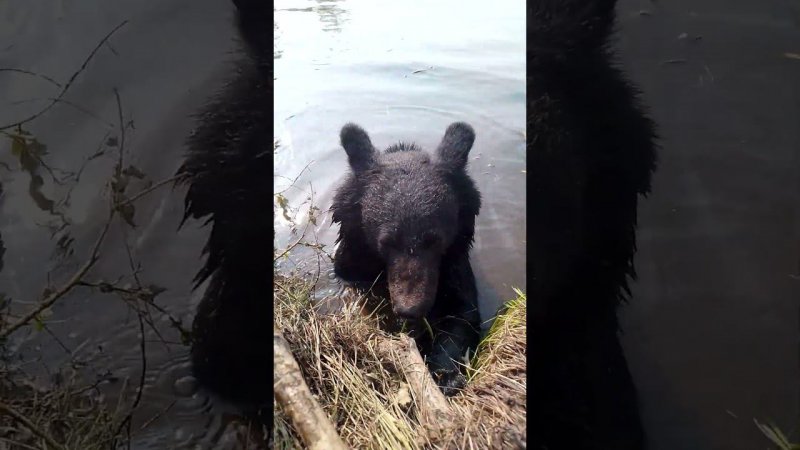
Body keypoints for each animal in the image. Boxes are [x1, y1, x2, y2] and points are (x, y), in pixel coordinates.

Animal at [332, 121, 482, 396]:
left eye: (435, 240)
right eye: (386, 241)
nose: (411, 309)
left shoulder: (454, 263)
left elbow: (463, 314)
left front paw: (446, 375)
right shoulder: (353, 262)